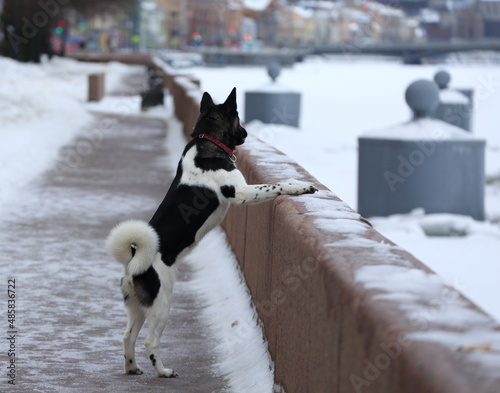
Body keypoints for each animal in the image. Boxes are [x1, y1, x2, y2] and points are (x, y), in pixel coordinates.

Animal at [106, 86, 316, 376]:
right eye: (238, 117)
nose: (246, 134)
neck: (208, 140)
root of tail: (135, 256)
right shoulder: (240, 193)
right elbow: (275, 186)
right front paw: (300, 186)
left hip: (137, 305)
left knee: (128, 336)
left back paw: (132, 367)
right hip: (162, 301)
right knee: (150, 340)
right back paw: (163, 371)